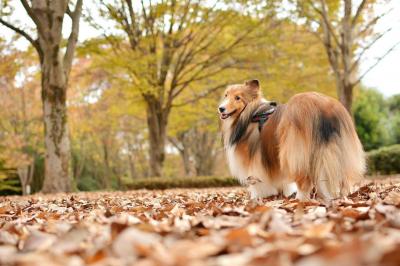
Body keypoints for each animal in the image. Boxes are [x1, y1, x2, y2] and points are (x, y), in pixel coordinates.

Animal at [219, 80, 366, 201]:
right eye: (226, 95)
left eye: (238, 98)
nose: (221, 108)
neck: (251, 114)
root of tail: (323, 108)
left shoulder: (254, 159)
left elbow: (256, 181)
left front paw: (258, 197)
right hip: (338, 151)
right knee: (343, 179)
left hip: (293, 151)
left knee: (304, 179)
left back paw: (300, 199)